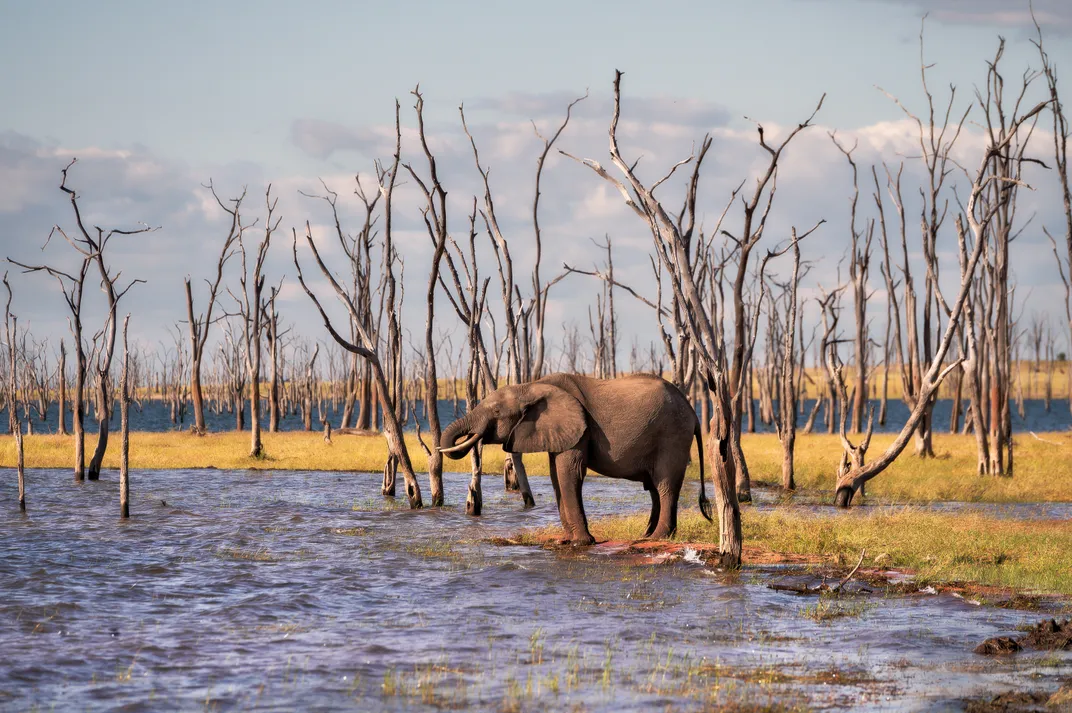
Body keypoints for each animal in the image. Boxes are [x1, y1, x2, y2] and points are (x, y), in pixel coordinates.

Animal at [435, 368, 711, 542]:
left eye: (495, 411)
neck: (531, 386)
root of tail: (693, 412)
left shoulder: (581, 429)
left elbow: (570, 472)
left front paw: (581, 542)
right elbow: (555, 474)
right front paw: (568, 539)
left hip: (672, 435)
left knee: (665, 485)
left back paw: (657, 538)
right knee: (654, 488)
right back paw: (646, 535)